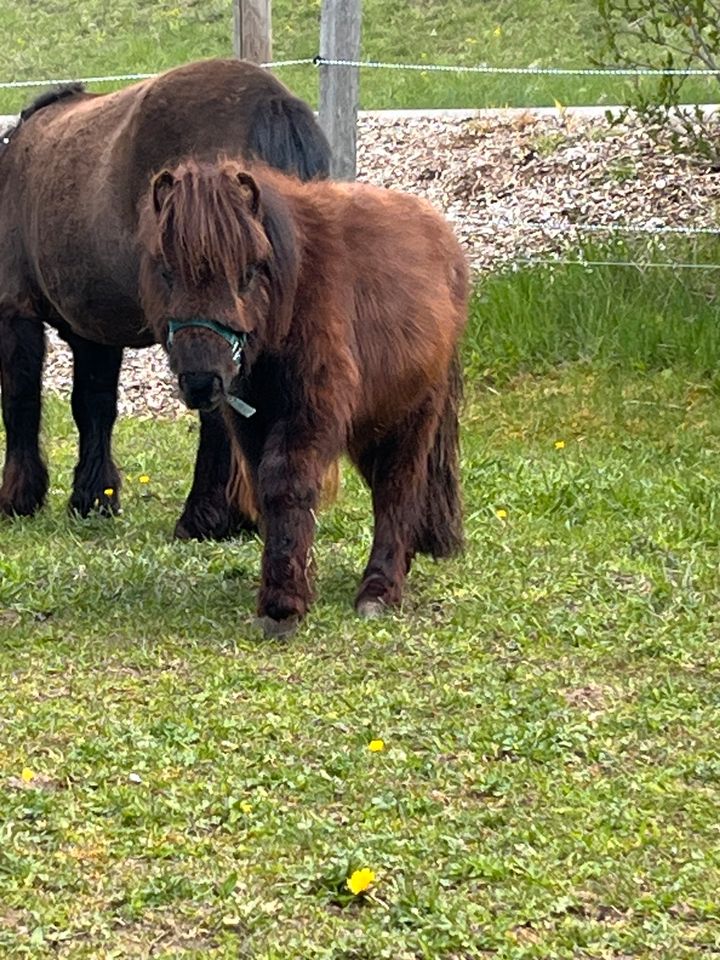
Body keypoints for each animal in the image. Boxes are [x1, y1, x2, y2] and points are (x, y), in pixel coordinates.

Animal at [0, 60, 332, 540]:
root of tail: (272, 104)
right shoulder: (95, 329)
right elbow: (94, 406)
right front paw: (94, 497)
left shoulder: (15, 310)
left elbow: (21, 401)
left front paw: (19, 498)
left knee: (217, 411)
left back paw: (204, 517)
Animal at [139, 160, 470, 632]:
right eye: (167, 272)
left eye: (248, 271)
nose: (203, 381)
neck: (292, 297)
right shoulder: (252, 423)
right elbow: (265, 489)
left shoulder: (312, 409)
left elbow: (287, 483)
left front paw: (283, 603)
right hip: (373, 422)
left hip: (413, 414)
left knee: (397, 489)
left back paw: (379, 590)